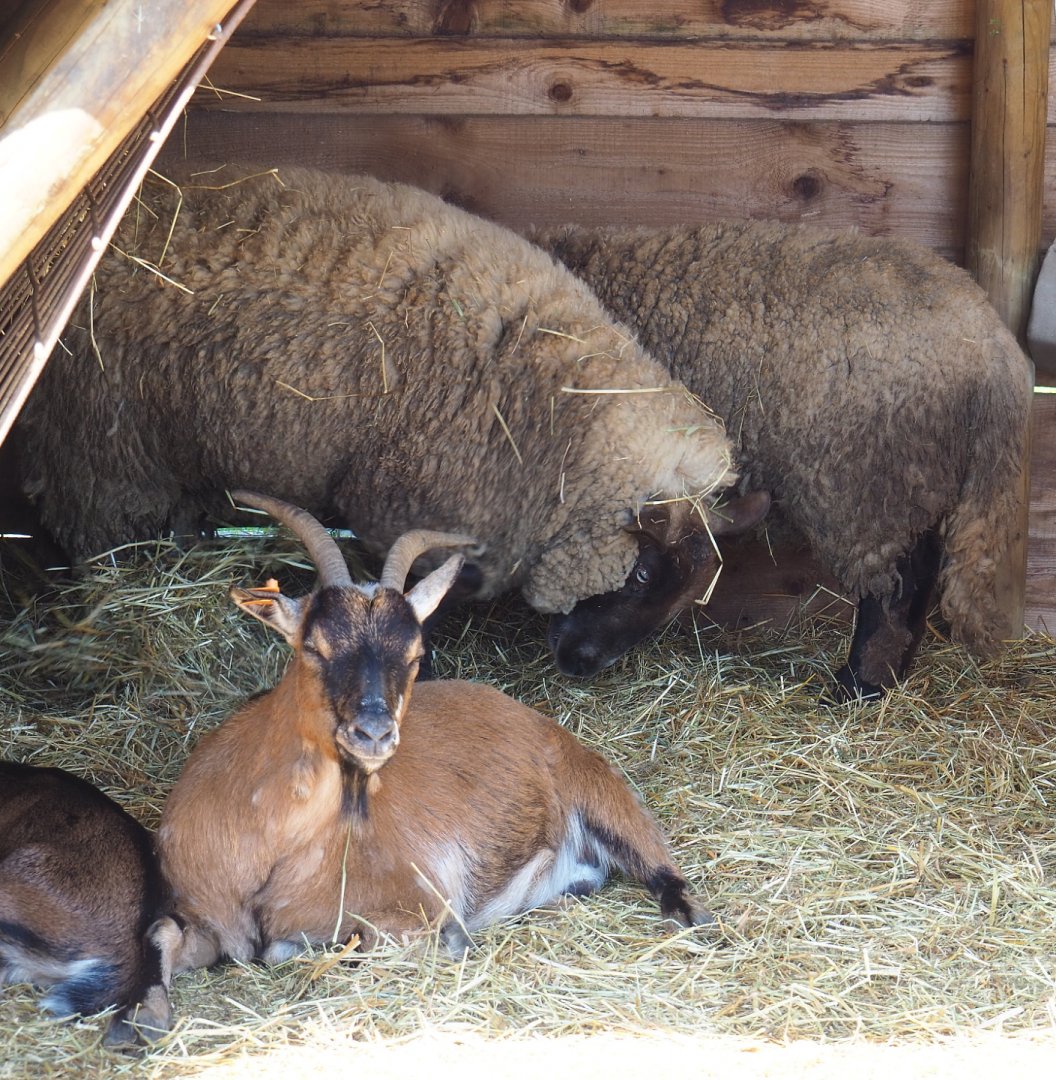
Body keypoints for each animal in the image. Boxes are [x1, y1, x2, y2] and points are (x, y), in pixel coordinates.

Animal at [141, 491, 711, 1029]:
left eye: (414, 656)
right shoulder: (203, 915)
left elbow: (340, 944)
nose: (373, 733)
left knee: (667, 877)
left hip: (601, 792)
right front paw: (145, 1019)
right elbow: (163, 930)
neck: (267, 853)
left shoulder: (420, 907)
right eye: (314, 646)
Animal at [530, 220, 1033, 699]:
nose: (578, 661)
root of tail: (997, 351)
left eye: (641, 573)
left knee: (896, 589)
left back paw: (859, 688)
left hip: (873, 487)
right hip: (915, 483)